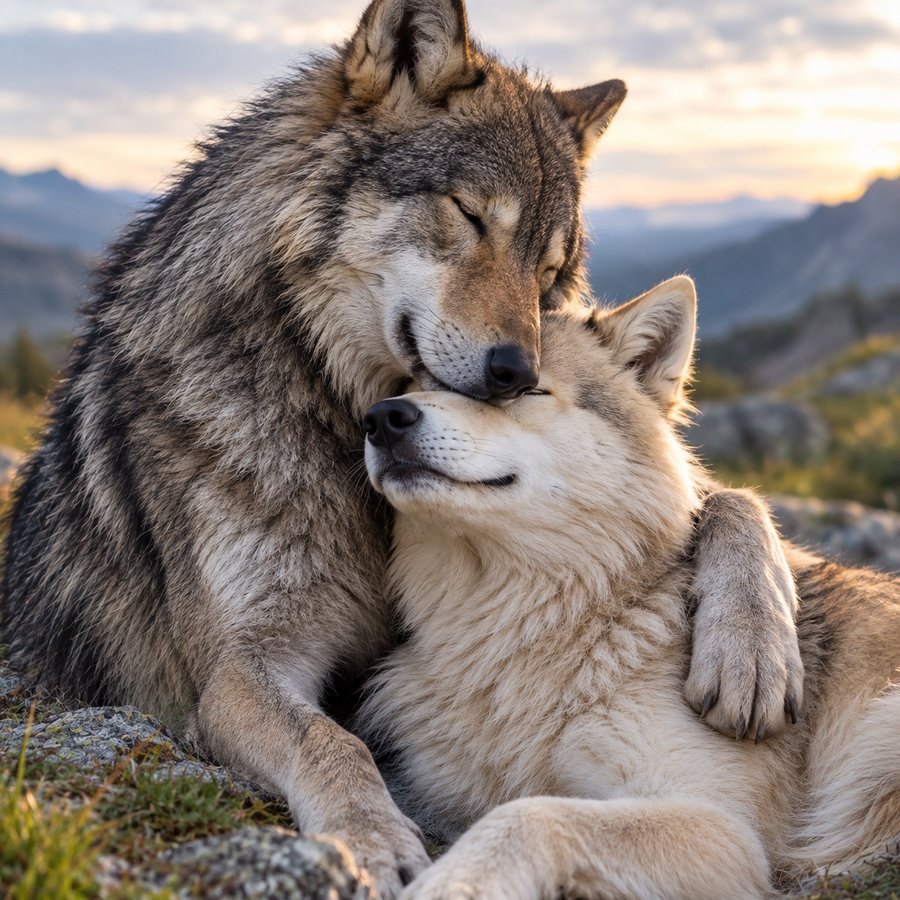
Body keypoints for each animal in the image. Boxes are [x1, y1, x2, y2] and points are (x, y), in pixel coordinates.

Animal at [3, 0, 801, 892]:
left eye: (548, 271)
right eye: (469, 214)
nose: (518, 371)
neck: (327, 411)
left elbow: (727, 499)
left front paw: (753, 647)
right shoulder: (239, 670)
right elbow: (331, 741)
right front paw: (371, 838)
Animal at [359, 275, 900, 898]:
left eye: (521, 390)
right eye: (409, 385)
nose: (382, 417)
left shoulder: (722, 829)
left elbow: (531, 813)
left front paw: (455, 882)